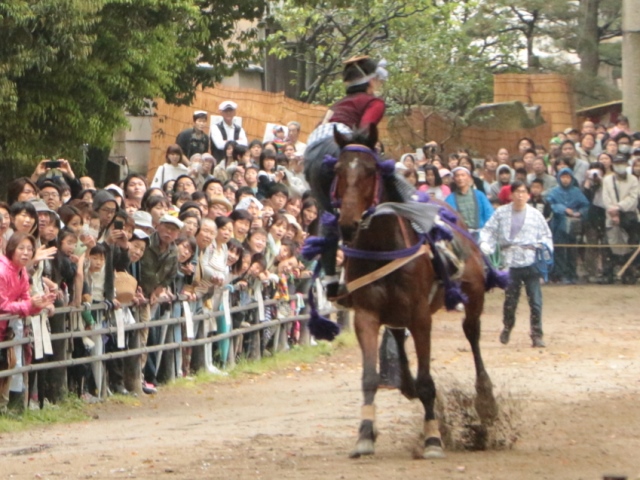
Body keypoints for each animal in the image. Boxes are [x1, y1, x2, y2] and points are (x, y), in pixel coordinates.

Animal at [332, 125, 498, 460]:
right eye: (338, 170)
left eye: (370, 171)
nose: (348, 224)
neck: (382, 247)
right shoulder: (366, 314)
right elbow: (369, 377)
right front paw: (365, 434)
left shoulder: (422, 316)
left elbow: (427, 382)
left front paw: (433, 438)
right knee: (397, 334)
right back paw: (405, 385)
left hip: (473, 293)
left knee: (472, 333)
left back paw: (485, 398)